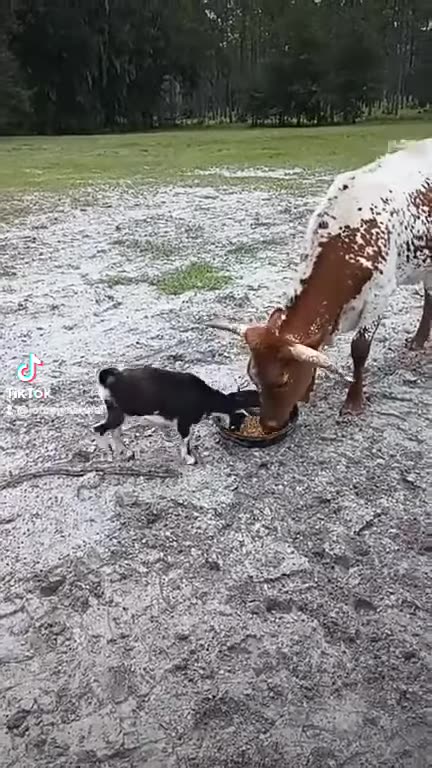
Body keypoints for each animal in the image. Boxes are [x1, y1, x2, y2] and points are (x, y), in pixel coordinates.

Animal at [93, 366, 257, 464]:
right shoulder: (184, 422)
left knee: (114, 432)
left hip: (121, 414)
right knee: (98, 429)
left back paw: (126, 452)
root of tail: (108, 378)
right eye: (241, 421)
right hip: (118, 413)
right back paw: (108, 453)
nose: (238, 431)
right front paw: (189, 458)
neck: (206, 398)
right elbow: (186, 440)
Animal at [207, 138, 432, 432]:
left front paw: (353, 402)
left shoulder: (379, 295)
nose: (268, 425)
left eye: (283, 381)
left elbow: (359, 349)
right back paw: (419, 340)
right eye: (253, 377)